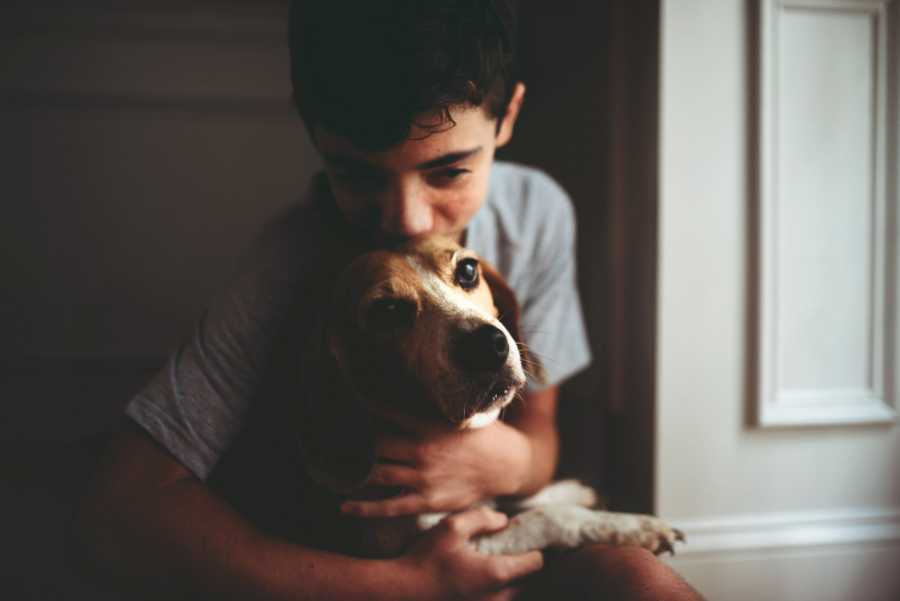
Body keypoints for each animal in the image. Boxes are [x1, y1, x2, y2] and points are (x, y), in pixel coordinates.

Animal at [294, 234, 684, 556]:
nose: (486, 345)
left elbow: (526, 500)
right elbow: (547, 517)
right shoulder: (451, 544)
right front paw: (632, 526)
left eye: (468, 270)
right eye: (386, 310)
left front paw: (579, 494)